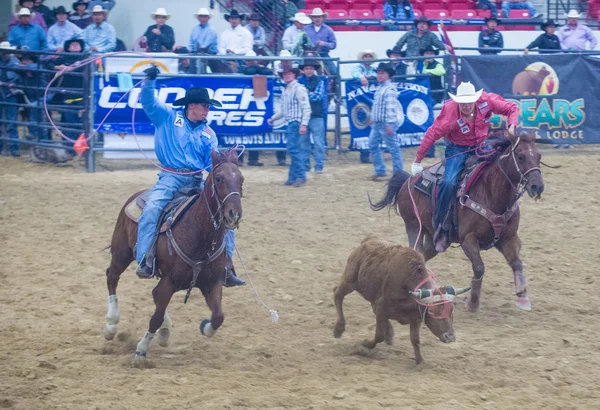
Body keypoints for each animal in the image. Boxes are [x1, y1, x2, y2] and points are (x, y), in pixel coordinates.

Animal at [103, 149, 244, 364]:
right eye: (219, 178)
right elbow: (155, 318)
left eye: (241, 179)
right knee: (112, 277)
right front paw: (141, 351)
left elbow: (218, 317)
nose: (234, 214)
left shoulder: (212, 283)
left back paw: (164, 332)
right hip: (121, 253)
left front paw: (204, 326)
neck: (200, 236)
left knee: (154, 295)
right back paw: (111, 325)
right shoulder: (169, 281)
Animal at [370, 131, 544, 310]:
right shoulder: (468, 239)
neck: (491, 194)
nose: (537, 187)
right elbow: (479, 267)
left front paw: (523, 297)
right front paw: (473, 302)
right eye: (521, 156)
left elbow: (517, 263)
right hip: (413, 225)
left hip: (433, 238)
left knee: (424, 256)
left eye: (539, 156)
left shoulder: (509, 238)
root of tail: (408, 180)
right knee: (415, 252)